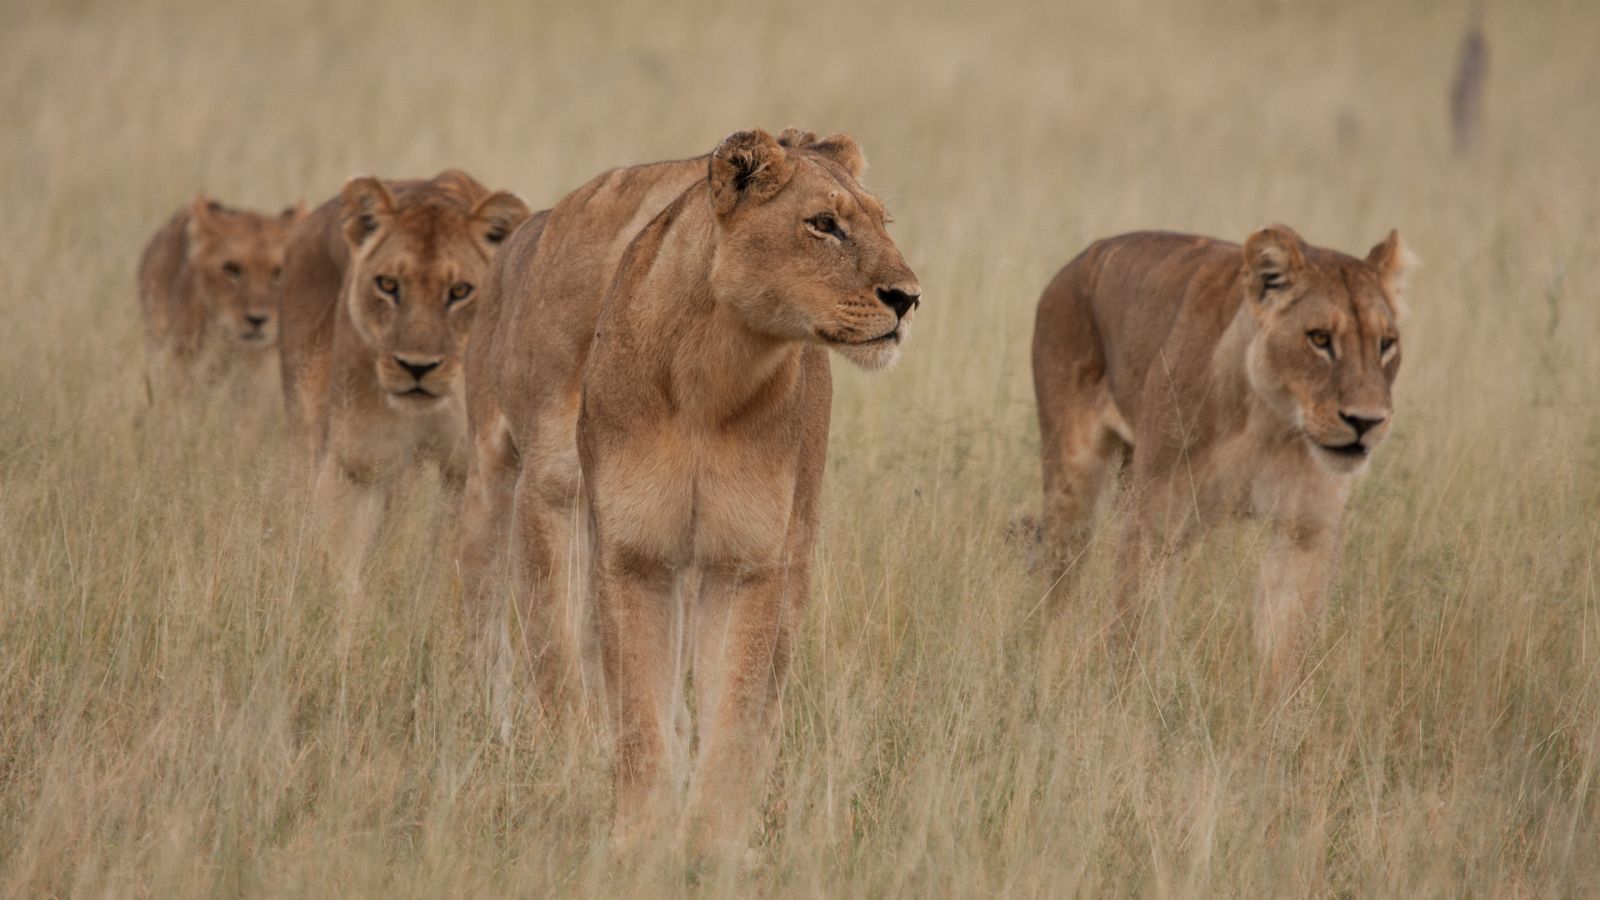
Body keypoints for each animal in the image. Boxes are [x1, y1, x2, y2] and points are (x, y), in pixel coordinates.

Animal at [277, 169, 531, 592]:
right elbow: (342, 562)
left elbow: (450, 562)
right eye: (388, 285)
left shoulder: (465, 469)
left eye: (459, 291)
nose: (417, 367)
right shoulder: (359, 460)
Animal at [461, 128, 919, 852]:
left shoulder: (747, 560)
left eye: (882, 222)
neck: (711, 373)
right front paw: (639, 838)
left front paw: (713, 844)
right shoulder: (631, 550)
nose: (908, 298)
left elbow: (734, 707)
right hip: (505, 485)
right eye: (823, 224)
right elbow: (631, 704)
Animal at [1032, 225, 1412, 690]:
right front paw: (1120, 696)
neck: (1269, 422)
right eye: (1320, 339)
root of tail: (1079, 260)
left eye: (1386, 344)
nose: (1366, 421)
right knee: (1060, 583)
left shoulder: (1306, 529)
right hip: (1073, 484)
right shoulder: (1156, 521)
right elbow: (1131, 628)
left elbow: (1286, 646)